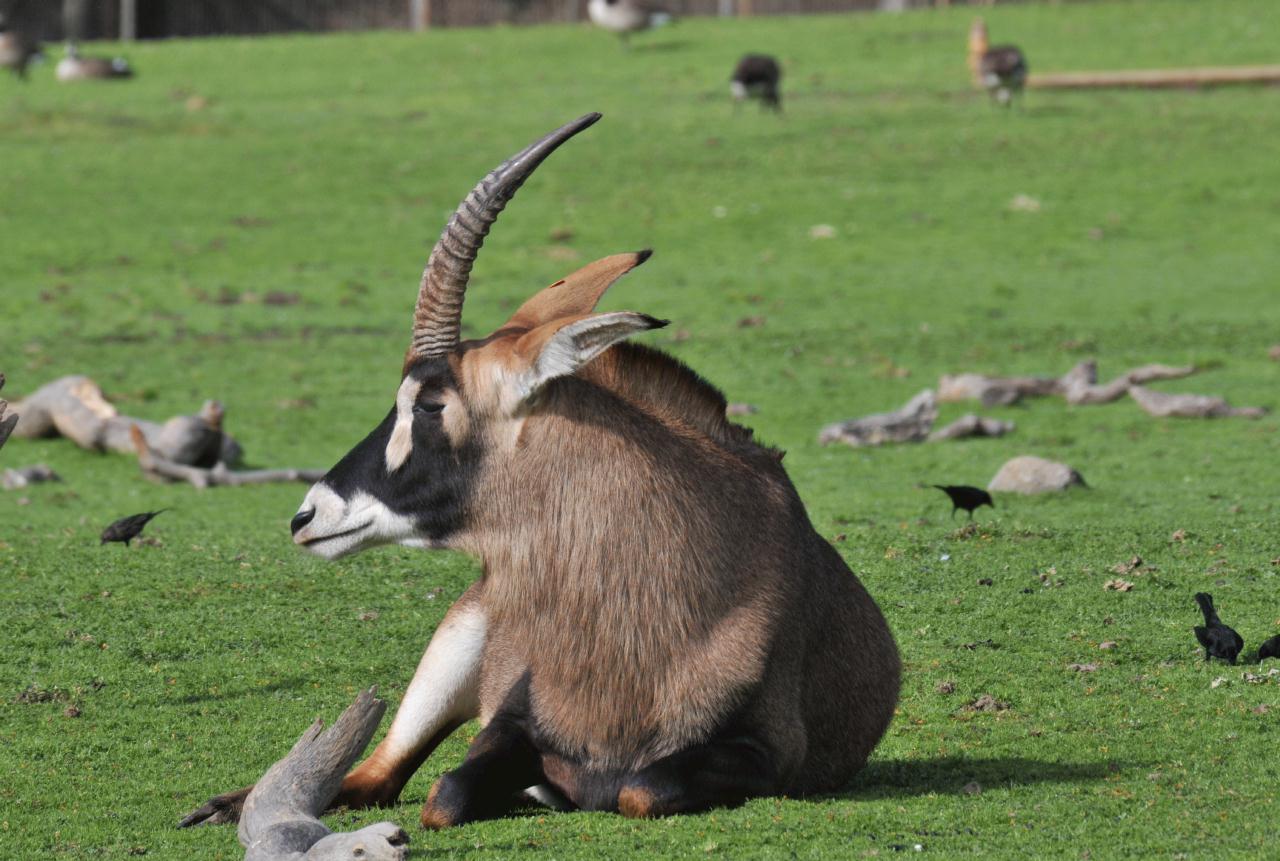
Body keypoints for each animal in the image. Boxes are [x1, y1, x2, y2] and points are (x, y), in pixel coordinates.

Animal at [180, 110, 901, 829]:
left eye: (432, 403)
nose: (307, 515)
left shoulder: (768, 752)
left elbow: (641, 787)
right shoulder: (511, 716)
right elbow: (447, 794)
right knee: (376, 776)